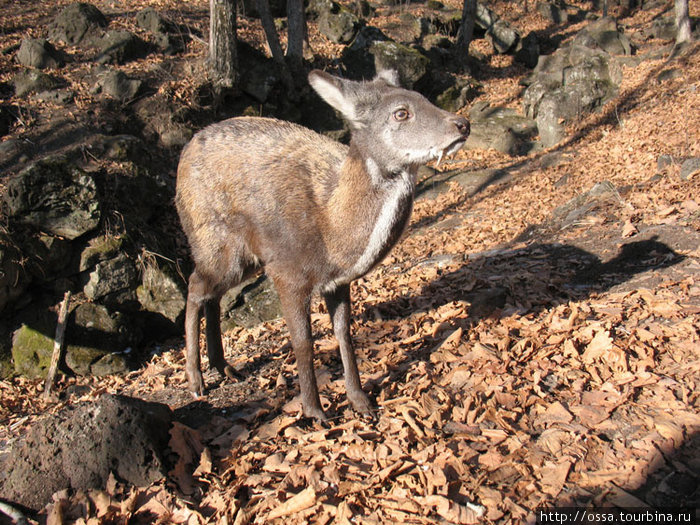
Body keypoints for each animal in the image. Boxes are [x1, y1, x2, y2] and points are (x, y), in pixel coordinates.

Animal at [175, 70, 470, 422]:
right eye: (401, 112)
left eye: (423, 97)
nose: (462, 124)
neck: (331, 234)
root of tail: (184, 151)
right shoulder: (286, 272)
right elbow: (303, 341)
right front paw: (315, 410)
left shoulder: (337, 282)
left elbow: (344, 333)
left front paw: (360, 400)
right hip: (215, 240)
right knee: (195, 285)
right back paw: (196, 380)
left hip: (243, 259)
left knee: (213, 294)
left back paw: (223, 366)